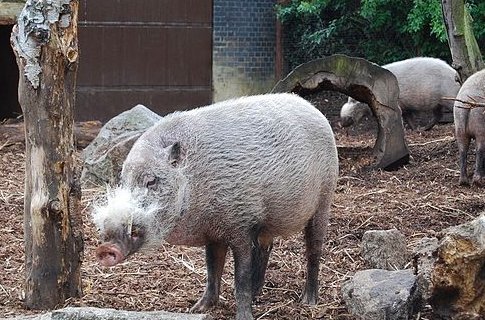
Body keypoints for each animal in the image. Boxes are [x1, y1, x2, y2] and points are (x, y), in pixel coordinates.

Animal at [92, 93, 338, 320]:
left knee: (314, 249)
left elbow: (240, 275)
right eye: (122, 181)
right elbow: (212, 268)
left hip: (324, 199)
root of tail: (314, 109)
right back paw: (258, 294)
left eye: (151, 181)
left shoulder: (241, 224)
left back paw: (308, 301)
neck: (196, 182)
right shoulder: (213, 233)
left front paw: (243, 316)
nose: (106, 247)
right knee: (266, 247)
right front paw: (196, 309)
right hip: (267, 222)